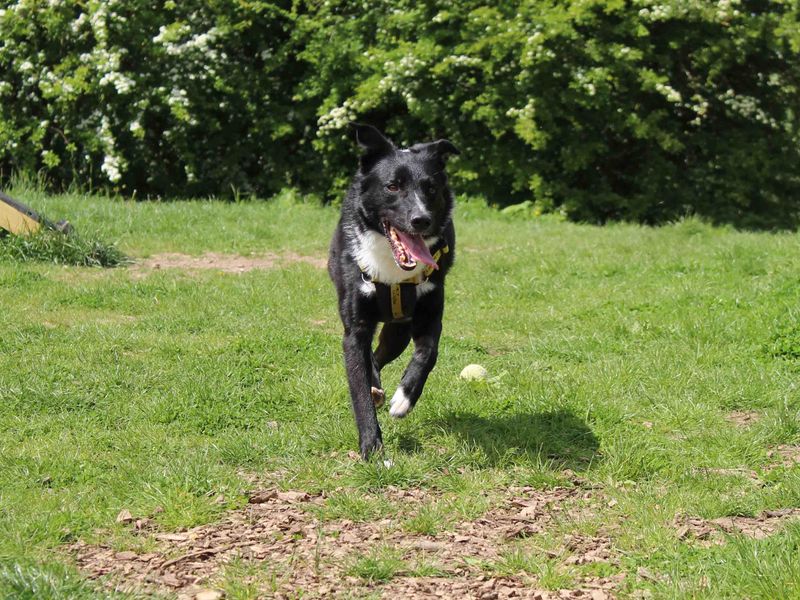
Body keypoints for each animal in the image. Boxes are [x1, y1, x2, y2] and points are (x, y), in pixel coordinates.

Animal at [328, 123, 460, 460]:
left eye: (430, 189)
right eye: (392, 187)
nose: (421, 219)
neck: (392, 269)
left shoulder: (430, 315)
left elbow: (428, 354)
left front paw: (404, 398)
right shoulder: (355, 329)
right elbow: (358, 387)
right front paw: (371, 447)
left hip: (397, 332)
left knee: (380, 354)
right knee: (370, 361)